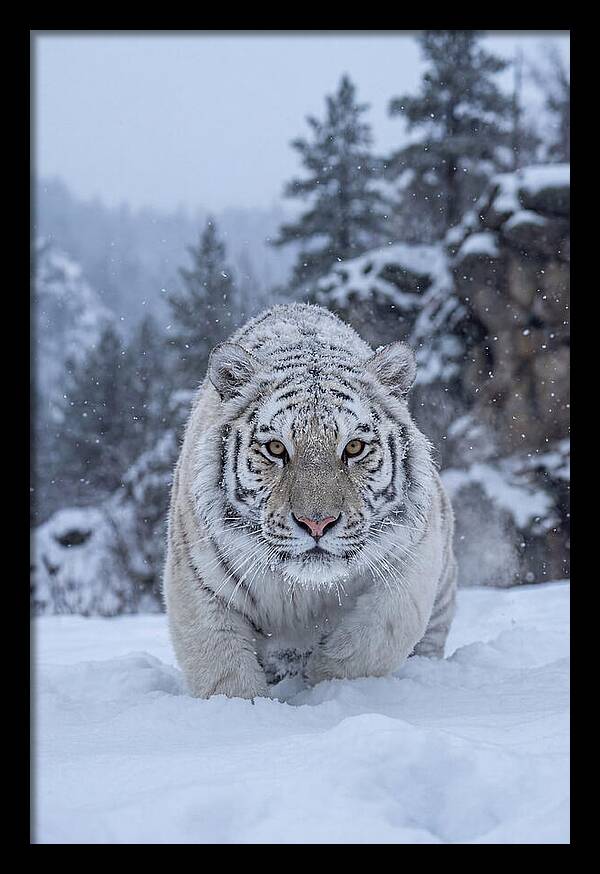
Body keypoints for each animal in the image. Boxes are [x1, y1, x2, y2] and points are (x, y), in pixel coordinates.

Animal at [163, 303, 457, 699]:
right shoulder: (198, 581)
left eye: (354, 447)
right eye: (275, 448)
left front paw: (325, 681)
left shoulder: (411, 559)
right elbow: (223, 670)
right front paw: (245, 708)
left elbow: (374, 639)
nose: (317, 523)